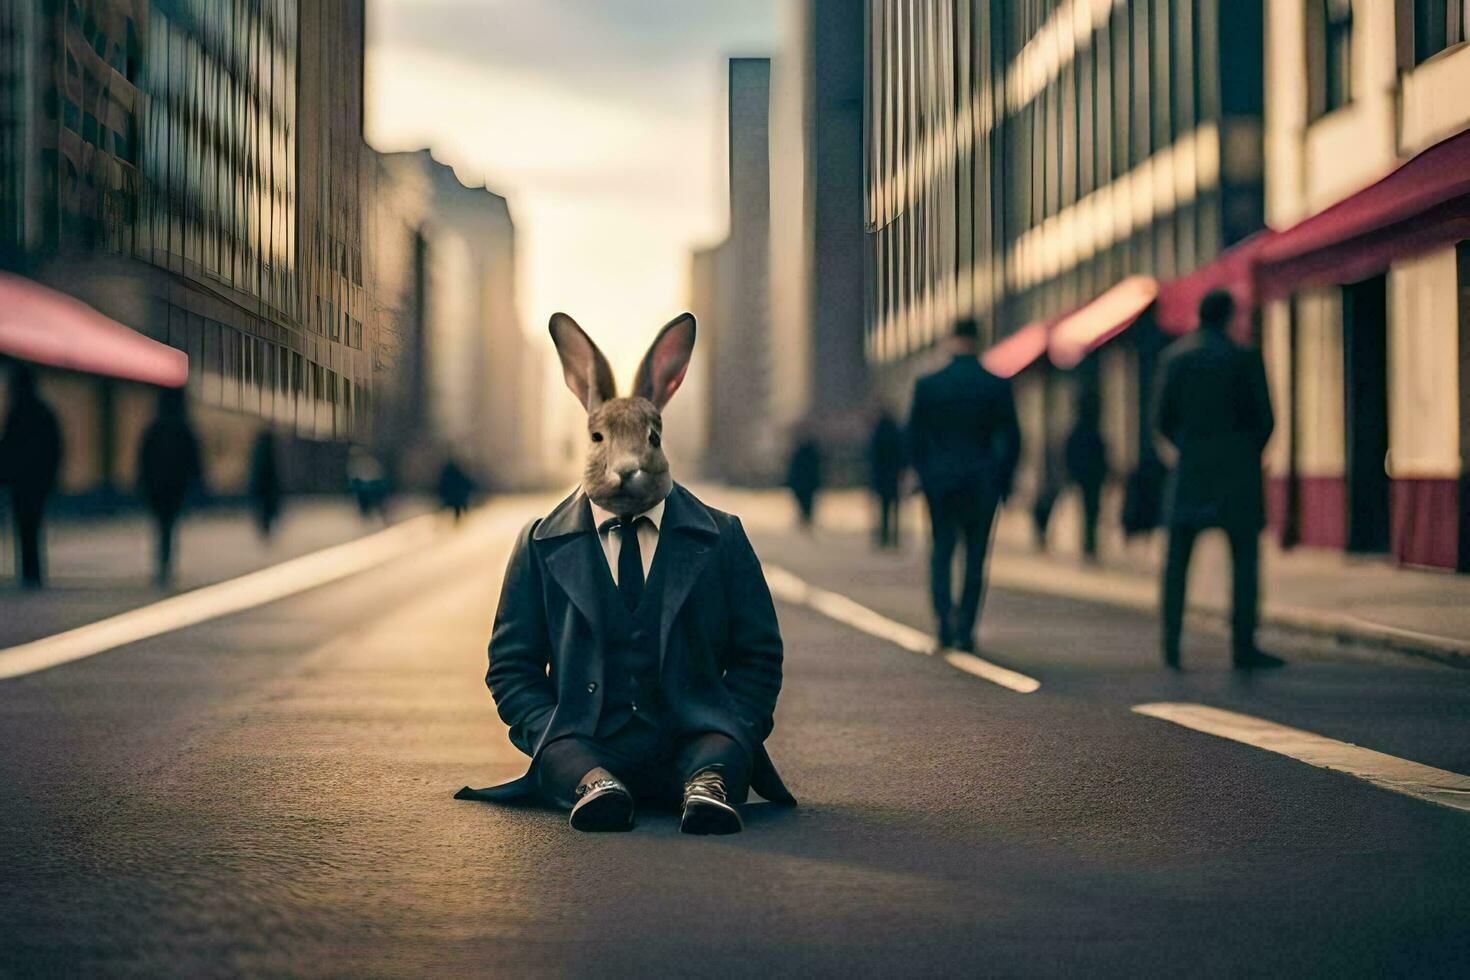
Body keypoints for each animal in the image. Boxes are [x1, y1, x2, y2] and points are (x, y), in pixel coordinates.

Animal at [455, 314, 793, 834]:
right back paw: (604, 798)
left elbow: (755, 651)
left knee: (721, 741)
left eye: (654, 436)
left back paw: (707, 804)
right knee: (564, 748)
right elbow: (516, 659)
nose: (628, 470)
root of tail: (647, 784)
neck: (630, 517)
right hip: (567, 742)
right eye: (597, 438)